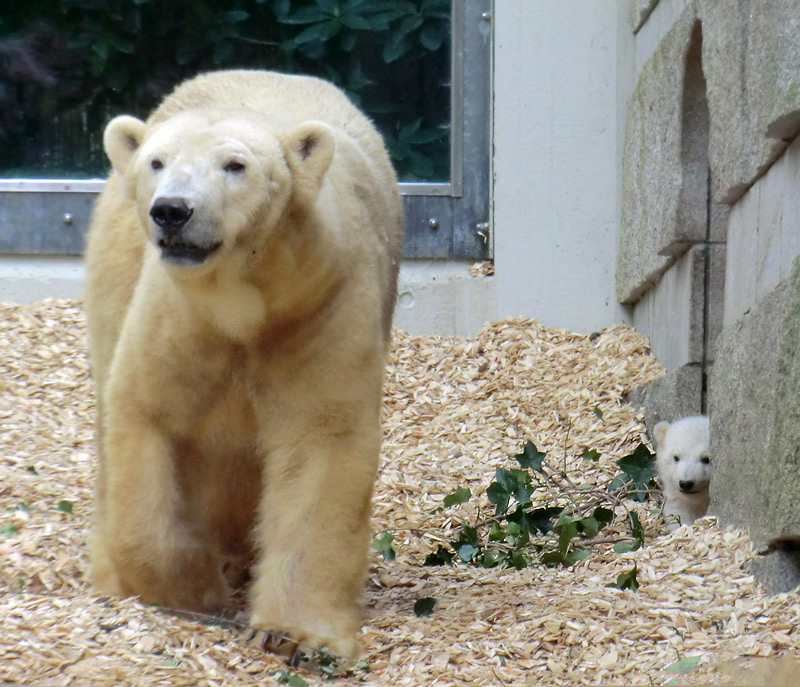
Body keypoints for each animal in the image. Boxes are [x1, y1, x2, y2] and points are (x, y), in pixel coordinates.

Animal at [84, 71, 404, 660]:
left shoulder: (321, 304)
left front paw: (293, 634)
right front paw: (194, 589)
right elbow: (147, 418)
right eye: (157, 161)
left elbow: (321, 441)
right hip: (115, 274)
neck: (242, 301)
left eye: (235, 165)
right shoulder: (178, 316)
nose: (172, 210)